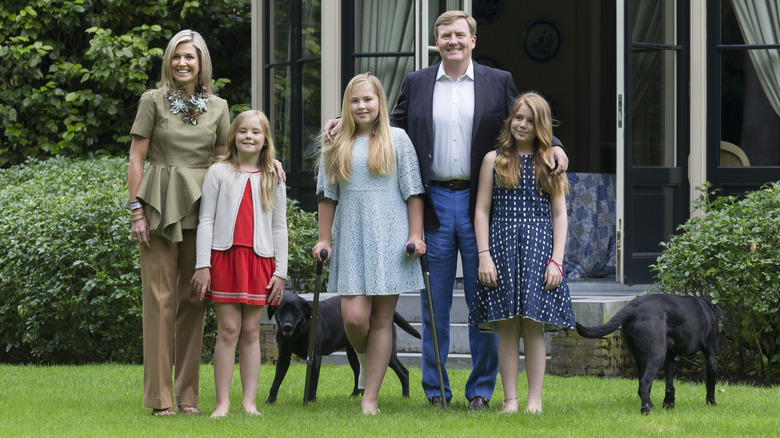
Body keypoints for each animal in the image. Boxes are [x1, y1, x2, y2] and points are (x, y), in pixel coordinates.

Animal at [266, 294, 420, 404]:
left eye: (296, 312)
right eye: (281, 311)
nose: (287, 326)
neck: (299, 330)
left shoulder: (315, 358)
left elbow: (312, 383)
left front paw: (310, 402)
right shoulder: (283, 357)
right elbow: (275, 382)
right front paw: (269, 402)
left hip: (386, 352)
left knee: (404, 372)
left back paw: (405, 397)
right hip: (352, 352)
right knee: (358, 371)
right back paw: (354, 395)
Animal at [572, 294, 724, 414]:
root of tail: (632, 307)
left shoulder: (669, 357)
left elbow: (669, 385)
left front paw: (668, 404)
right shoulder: (710, 355)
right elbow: (710, 383)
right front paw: (712, 403)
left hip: (640, 358)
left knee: (641, 385)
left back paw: (650, 404)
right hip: (656, 356)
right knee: (645, 382)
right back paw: (646, 409)